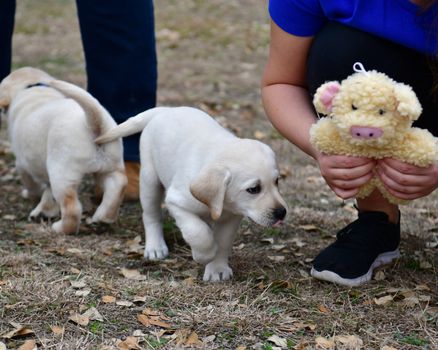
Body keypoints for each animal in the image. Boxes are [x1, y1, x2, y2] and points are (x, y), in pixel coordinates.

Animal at [0, 67, 126, 234]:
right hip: (110, 165)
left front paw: (31, 195)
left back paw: (60, 228)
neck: (32, 87)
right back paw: (103, 218)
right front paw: (44, 209)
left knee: (72, 209)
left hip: (62, 173)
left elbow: (32, 184)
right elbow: (48, 191)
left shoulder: (22, 164)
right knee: (118, 185)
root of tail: (93, 122)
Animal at [96, 106, 288, 282]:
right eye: (253, 189)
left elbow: (223, 241)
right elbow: (198, 232)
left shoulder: (232, 216)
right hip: (150, 180)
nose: (282, 213)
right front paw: (204, 255)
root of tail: (166, 109)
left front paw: (217, 268)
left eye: (277, 182)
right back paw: (155, 247)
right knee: (151, 215)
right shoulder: (177, 202)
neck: (220, 204)